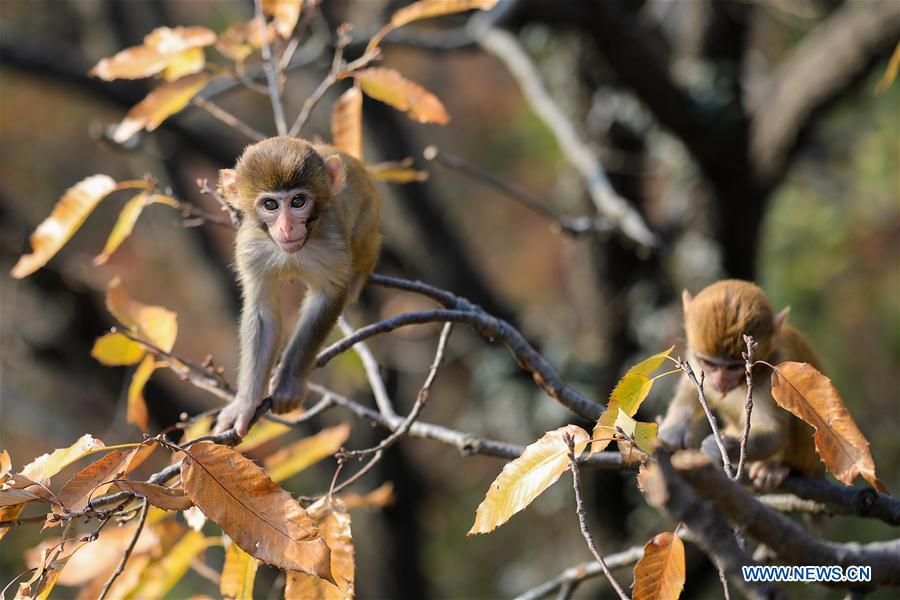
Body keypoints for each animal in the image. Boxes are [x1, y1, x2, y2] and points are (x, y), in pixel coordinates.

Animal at [214, 136, 380, 436]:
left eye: (298, 201)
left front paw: (287, 384)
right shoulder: (251, 247)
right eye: (270, 205)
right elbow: (262, 313)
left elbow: (327, 296)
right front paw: (245, 402)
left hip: (369, 217)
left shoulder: (332, 243)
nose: (287, 227)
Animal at [656, 278, 828, 490]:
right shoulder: (695, 359)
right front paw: (675, 427)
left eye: (734, 367)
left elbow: (775, 432)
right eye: (710, 364)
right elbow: (691, 388)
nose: (720, 381)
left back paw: (775, 468)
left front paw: (723, 447)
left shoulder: (772, 375)